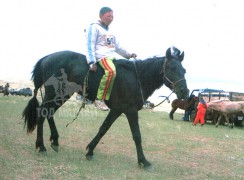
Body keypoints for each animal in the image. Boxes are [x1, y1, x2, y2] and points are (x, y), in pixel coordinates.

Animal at [21, 47, 188, 169]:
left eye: (184, 70)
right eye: (171, 68)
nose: (184, 92)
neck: (137, 77)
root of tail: (47, 57)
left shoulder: (116, 110)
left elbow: (103, 129)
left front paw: (90, 150)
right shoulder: (130, 111)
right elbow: (137, 135)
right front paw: (143, 161)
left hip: (62, 95)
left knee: (49, 113)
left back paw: (54, 141)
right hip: (54, 94)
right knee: (42, 114)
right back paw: (41, 146)